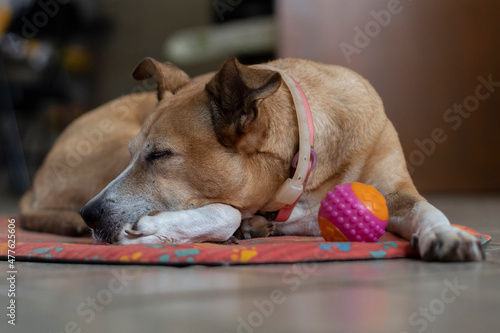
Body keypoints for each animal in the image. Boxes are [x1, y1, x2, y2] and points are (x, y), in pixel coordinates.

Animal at [20, 56, 484, 260]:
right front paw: (150, 231)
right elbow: (226, 211)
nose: (90, 215)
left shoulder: (398, 192)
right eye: (137, 155)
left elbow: (428, 210)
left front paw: (450, 235)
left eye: (161, 155)